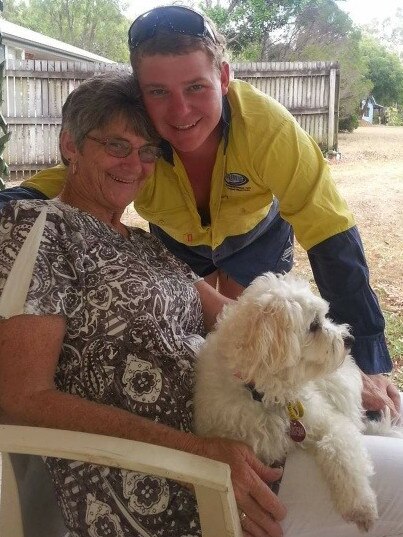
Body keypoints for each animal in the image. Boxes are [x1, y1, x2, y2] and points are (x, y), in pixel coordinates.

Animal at [195, 272, 400, 532]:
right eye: (313, 325)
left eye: (325, 316)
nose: (349, 339)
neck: (263, 396)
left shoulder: (331, 423)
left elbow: (343, 453)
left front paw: (360, 505)